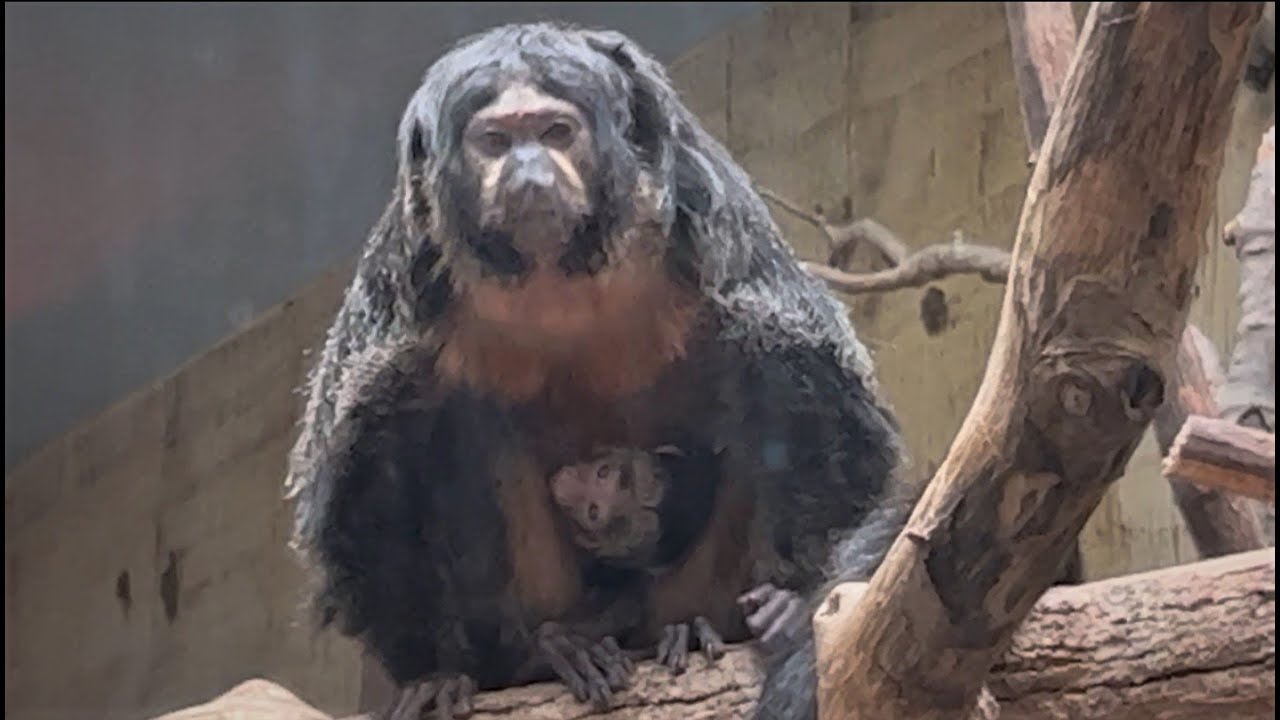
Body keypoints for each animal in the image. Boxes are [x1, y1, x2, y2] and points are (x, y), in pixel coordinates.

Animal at [284, 22, 906, 720]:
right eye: (496, 142)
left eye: (556, 132)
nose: (528, 172)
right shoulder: (410, 265)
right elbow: (368, 450)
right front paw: (437, 669)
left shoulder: (703, 205)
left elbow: (800, 368)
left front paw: (791, 600)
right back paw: (540, 654)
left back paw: (697, 629)